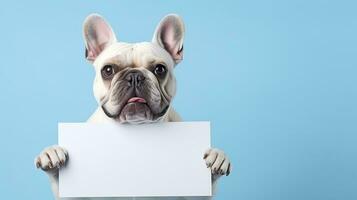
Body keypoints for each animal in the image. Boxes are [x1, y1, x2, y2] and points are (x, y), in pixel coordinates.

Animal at [34, 13, 231, 199]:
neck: (135, 128)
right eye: (108, 70)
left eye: (160, 69)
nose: (135, 76)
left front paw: (217, 157)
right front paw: (52, 154)